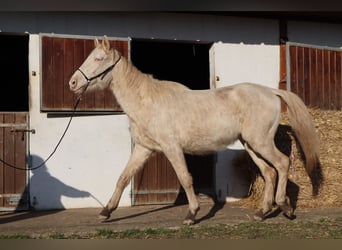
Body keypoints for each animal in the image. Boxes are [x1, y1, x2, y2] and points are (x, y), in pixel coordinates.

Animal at [68, 36, 322, 225]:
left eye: (98, 58)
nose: (72, 83)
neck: (148, 100)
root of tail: (271, 92)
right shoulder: (144, 148)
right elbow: (122, 177)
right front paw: (106, 212)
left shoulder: (172, 148)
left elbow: (185, 178)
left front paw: (192, 214)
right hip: (250, 144)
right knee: (269, 172)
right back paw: (262, 212)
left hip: (261, 142)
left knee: (282, 164)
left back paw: (285, 207)